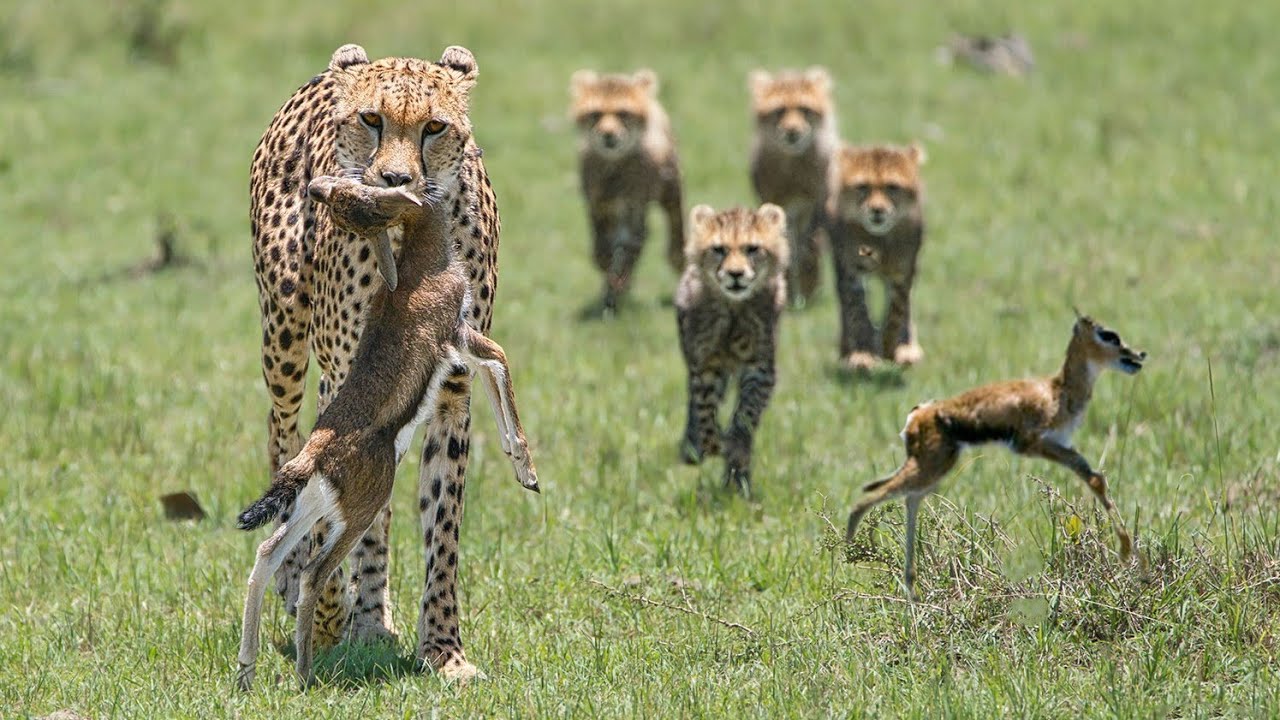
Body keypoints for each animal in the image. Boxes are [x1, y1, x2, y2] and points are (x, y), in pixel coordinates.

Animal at [249, 43, 499, 681]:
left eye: (434, 127)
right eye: (372, 120)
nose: (395, 180)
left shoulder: (453, 389)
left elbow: (442, 525)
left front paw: (444, 651)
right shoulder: (345, 385)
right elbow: (336, 515)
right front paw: (331, 615)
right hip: (284, 344)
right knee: (282, 441)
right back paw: (313, 593)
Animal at [570, 69, 685, 313]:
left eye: (623, 113)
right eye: (596, 114)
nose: (608, 135)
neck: (614, 166)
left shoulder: (634, 204)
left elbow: (628, 244)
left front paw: (618, 280)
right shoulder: (598, 204)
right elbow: (602, 247)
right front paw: (610, 279)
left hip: (670, 187)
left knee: (672, 221)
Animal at [675, 204, 789, 496]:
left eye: (752, 248)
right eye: (719, 249)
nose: (735, 274)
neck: (733, 307)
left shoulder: (760, 368)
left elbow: (746, 415)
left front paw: (736, 446)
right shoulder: (706, 365)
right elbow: (704, 410)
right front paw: (710, 443)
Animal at [748, 67, 838, 307]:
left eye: (805, 110)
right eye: (779, 111)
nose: (792, 132)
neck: (794, 164)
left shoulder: (816, 202)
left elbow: (811, 243)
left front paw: (808, 286)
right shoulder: (777, 203)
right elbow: (783, 243)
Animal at [825, 142, 927, 372]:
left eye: (892, 187)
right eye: (863, 186)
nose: (877, 210)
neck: (881, 239)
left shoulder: (902, 272)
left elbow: (897, 311)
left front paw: (890, 348)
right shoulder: (851, 271)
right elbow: (858, 310)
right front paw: (864, 353)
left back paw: (906, 348)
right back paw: (848, 351)